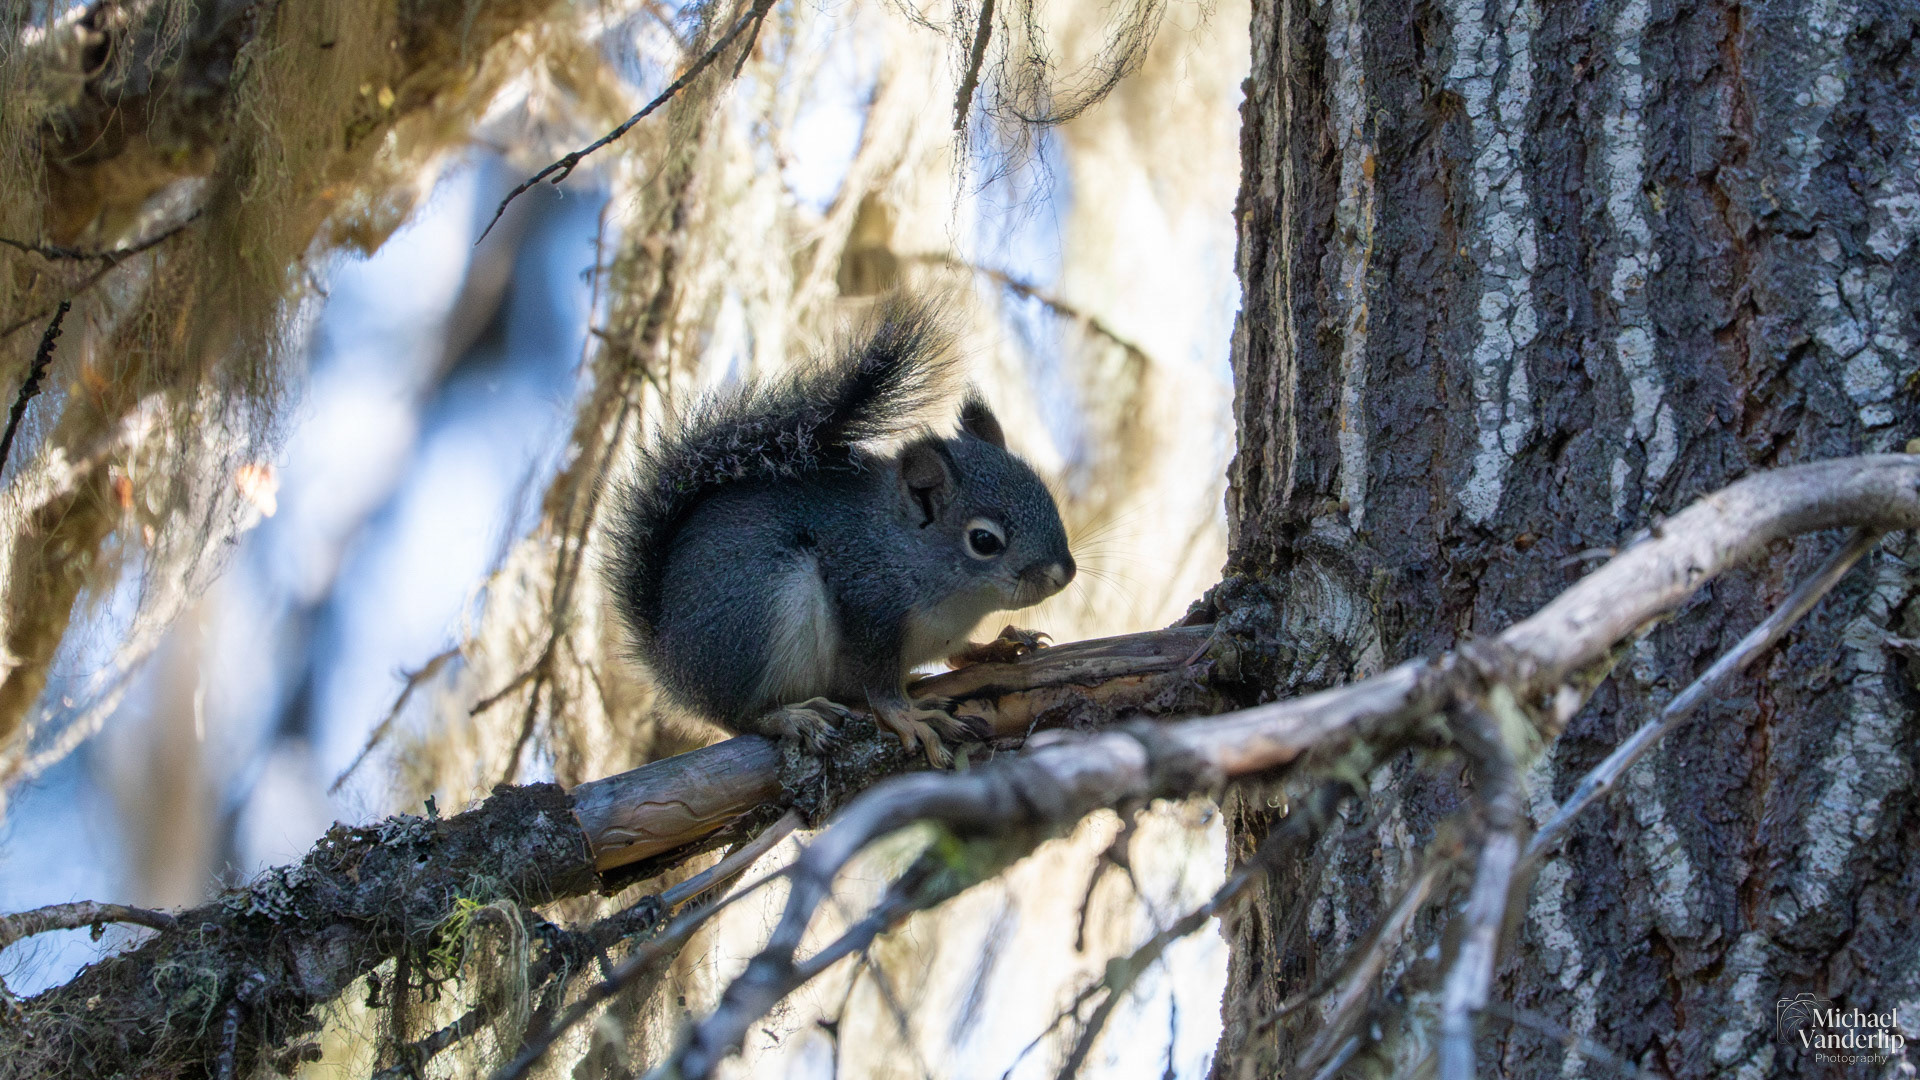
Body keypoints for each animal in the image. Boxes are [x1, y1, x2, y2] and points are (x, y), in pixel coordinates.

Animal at [607, 298, 1076, 766]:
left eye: (1044, 495)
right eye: (984, 541)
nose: (1064, 574)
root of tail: (671, 662)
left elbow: (960, 652)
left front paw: (1001, 644)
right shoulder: (867, 604)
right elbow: (879, 686)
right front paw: (909, 718)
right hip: (755, 622)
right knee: (739, 716)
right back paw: (791, 717)